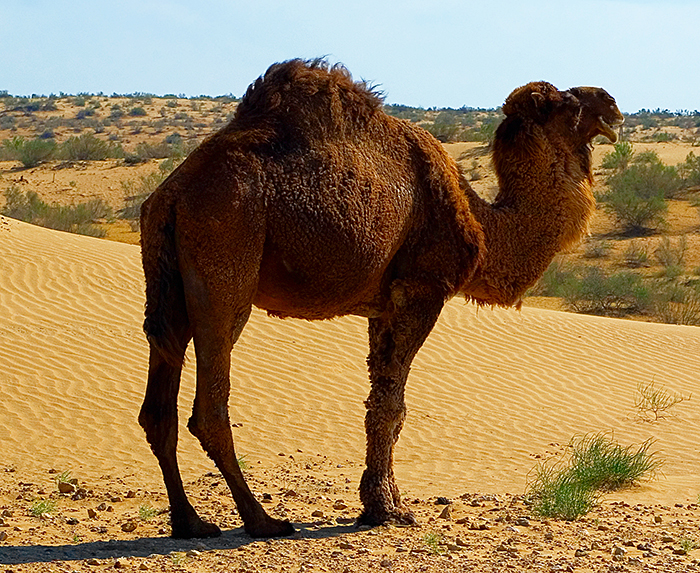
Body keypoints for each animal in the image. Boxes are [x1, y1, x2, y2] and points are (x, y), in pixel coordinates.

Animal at [137, 60, 624, 540]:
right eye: (567, 102)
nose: (611, 102)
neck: (484, 225)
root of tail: (172, 193)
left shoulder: (383, 305)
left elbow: (379, 402)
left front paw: (377, 503)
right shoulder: (421, 289)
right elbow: (392, 405)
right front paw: (389, 508)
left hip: (167, 284)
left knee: (159, 400)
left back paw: (190, 521)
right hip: (227, 255)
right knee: (209, 402)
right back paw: (262, 519)